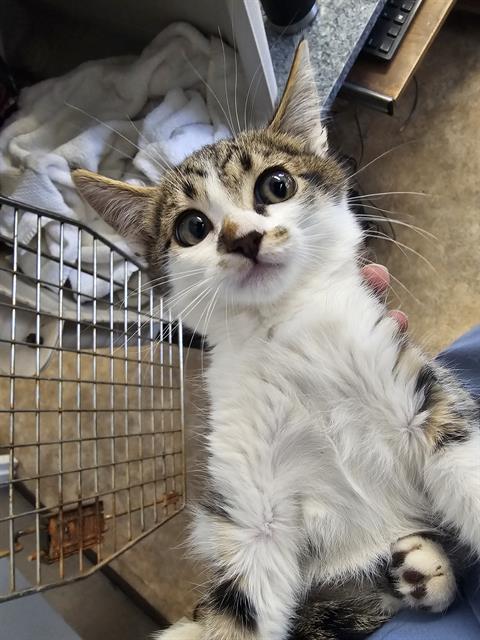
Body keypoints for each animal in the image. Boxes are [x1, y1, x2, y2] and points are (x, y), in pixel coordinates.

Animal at [72, 41, 480, 640]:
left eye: (277, 184)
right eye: (192, 227)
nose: (243, 238)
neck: (281, 331)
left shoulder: (417, 392)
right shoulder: (249, 513)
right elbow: (235, 608)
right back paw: (414, 570)